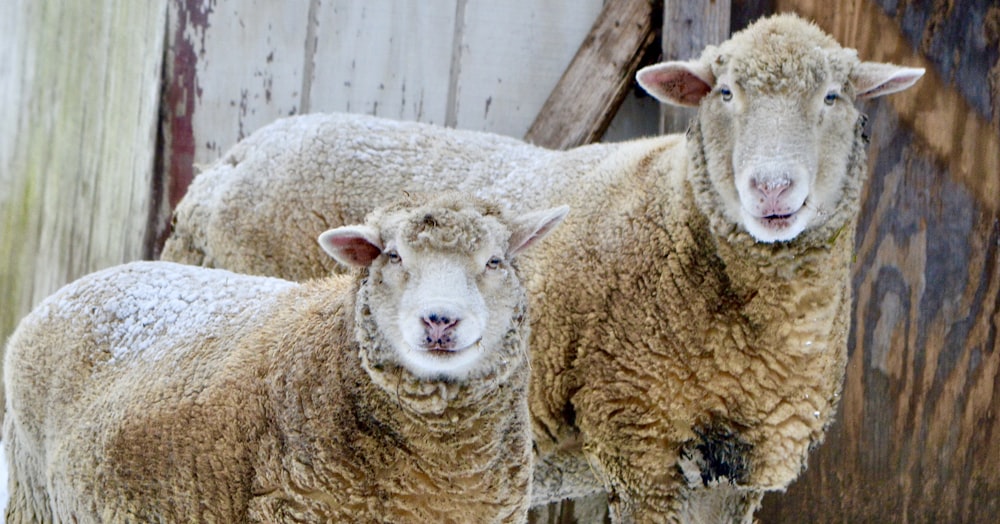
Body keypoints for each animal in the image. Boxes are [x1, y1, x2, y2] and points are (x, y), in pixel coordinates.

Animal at [162, 13, 920, 524]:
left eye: (834, 97)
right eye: (724, 92)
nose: (772, 190)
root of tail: (220, 171)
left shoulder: (739, 473)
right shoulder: (641, 439)